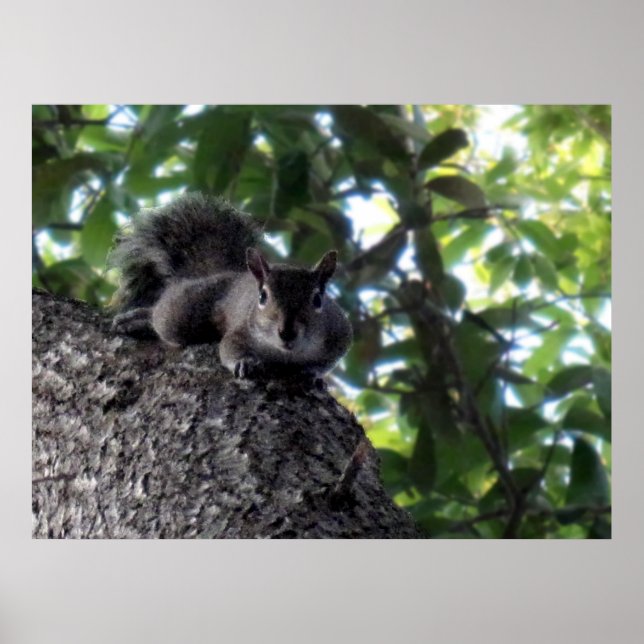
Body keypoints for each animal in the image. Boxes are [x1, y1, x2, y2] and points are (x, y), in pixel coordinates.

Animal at [110, 193, 353, 380]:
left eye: (318, 299)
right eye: (262, 297)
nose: (287, 332)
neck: (286, 353)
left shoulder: (339, 335)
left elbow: (329, 361)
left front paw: (313, 372)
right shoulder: (241, 331)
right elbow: (228, 348)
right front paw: (243, 362)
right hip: (184, 309)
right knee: (161, 317)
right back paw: (138, 320)